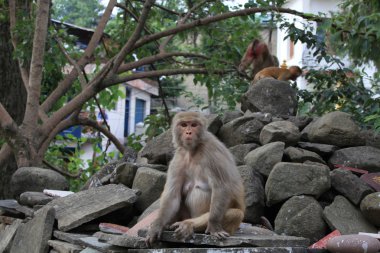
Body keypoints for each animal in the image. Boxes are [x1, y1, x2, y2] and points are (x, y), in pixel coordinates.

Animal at [145, 111, 246, 245]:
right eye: (183, 125)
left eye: (193, 125)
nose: (188, 132)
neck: (193, 151)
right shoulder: (178, 159)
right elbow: (172, 195)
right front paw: (157, 225)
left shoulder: (212, 150)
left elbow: (221, 187)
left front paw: (213, 225)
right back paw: (171, 224)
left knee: (236, 213)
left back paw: (188, 224)